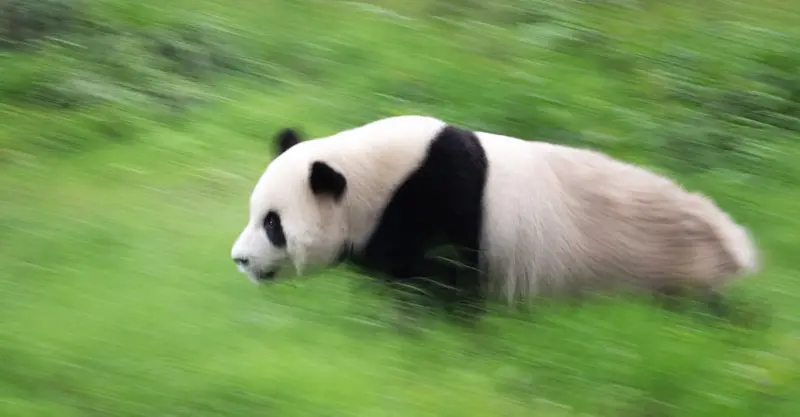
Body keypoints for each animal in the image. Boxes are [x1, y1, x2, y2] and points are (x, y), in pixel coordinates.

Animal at [230, 115, 759, 315]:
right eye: (255, 213)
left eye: (273, 224)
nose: (239, 259)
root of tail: (732, 249)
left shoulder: (435, 197)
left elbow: (436, 277)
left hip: (668, 275)